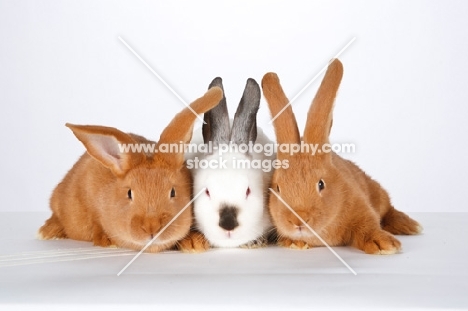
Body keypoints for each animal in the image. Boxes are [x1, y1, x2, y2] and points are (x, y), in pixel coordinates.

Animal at [37, 88, 224, 254]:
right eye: (129, 193)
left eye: (173, 192)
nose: (152, 227)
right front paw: (107, 240)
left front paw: (194, 243)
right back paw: (47, 232)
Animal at [262, 59, 422, 255]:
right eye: (278, 188)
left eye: (321, 184)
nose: (298, 220)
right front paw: (294, 243)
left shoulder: (361, 208)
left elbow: (368, 226)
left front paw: (384, 244)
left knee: (389, 209)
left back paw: (409, 225)